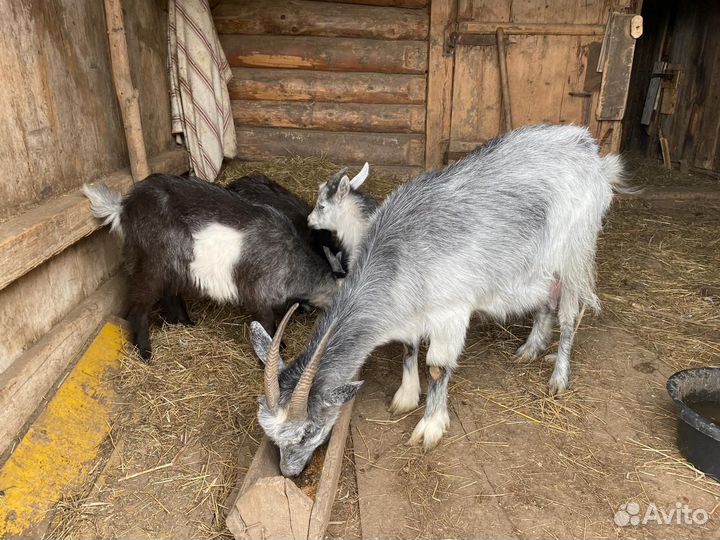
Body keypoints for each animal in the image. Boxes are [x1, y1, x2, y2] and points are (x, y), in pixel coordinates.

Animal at [82, 174, 338, 360]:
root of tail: (124, 207)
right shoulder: (259, 294)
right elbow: (267, 325)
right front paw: (274, 350)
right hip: (153, 265)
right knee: (139, 307)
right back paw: (146, 353)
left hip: (175, 264)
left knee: (170, 294)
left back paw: (185, 323)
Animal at [250, 125, 626, 476]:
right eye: (271, 434)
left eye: (308, 431)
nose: (289, 472)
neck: (397, 257)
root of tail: (588, 149)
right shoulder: (411, 311)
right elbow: (409, 348)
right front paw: (405, 397)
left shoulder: (451, 313)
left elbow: (437, 367)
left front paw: (430, 426)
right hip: (539, 266)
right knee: (546, 301)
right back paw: (530, 348)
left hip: (576, 252)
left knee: (569, 315)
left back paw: (558, 378)